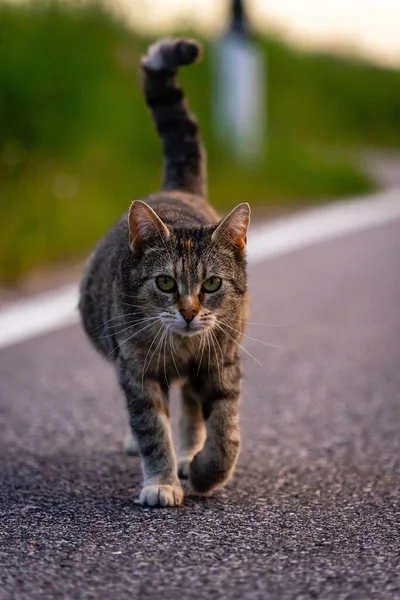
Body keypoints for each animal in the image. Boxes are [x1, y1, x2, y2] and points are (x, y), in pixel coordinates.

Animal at [79, 37, 250, 506]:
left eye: (212, 284)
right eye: (165, 282)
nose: (189, 312)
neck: (182, 347)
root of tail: (178, 187)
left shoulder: (222, 363)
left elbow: (225, 434)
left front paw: (207, 472)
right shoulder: (136, 370)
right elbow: (152, 430)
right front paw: (161, 481)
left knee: (191, 406)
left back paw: (191, 455)